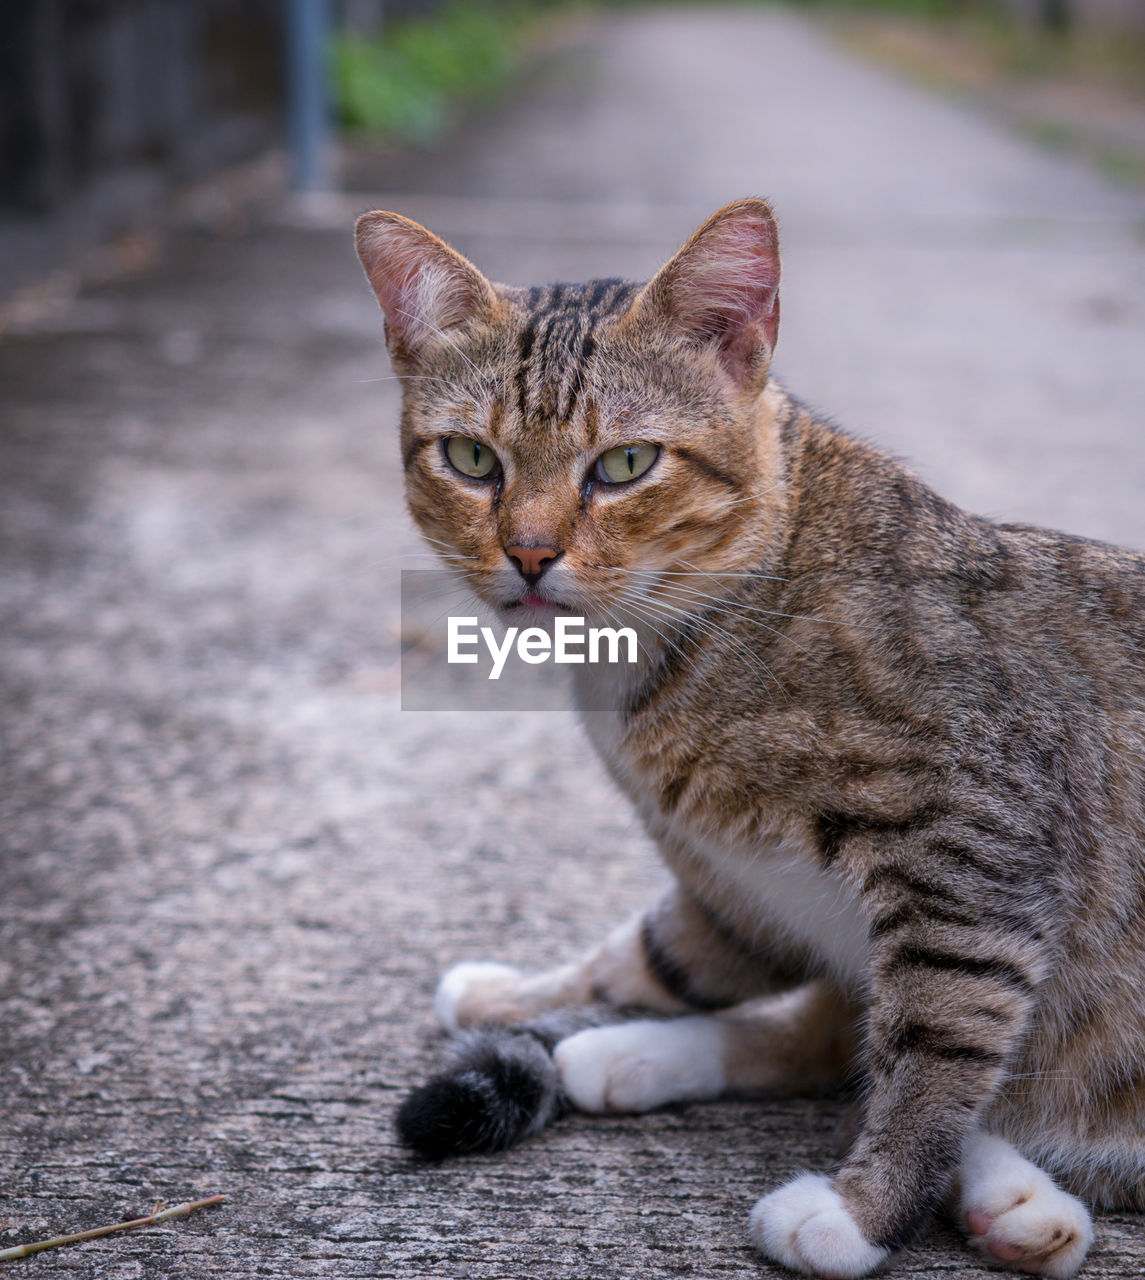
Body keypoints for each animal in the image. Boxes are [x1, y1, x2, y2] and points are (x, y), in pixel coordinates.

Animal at [355, 202, 1145, 1280]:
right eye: (472, 459)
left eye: (626, 464)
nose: (527, 552)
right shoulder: (740, 886)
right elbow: (655, 955)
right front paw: (520, 997)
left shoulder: (972, 851)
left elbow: (935, 1050)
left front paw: (864, 1209)